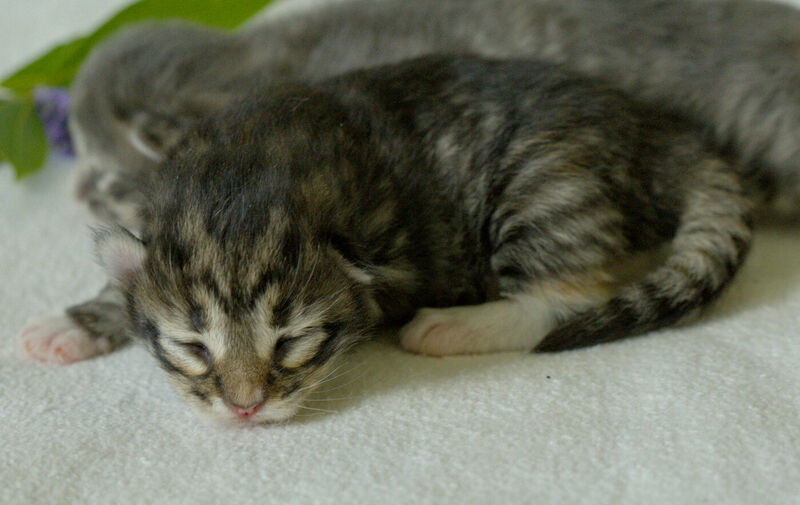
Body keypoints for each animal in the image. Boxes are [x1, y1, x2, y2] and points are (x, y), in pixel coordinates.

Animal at [37, 56, 752, 422]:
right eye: (192, 347)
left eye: (290, 343)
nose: (244, 409)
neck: (244, 170)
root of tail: (656, 132)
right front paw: (72, 323)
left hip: (548, 183)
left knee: (566, 297)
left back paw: (452, 327)